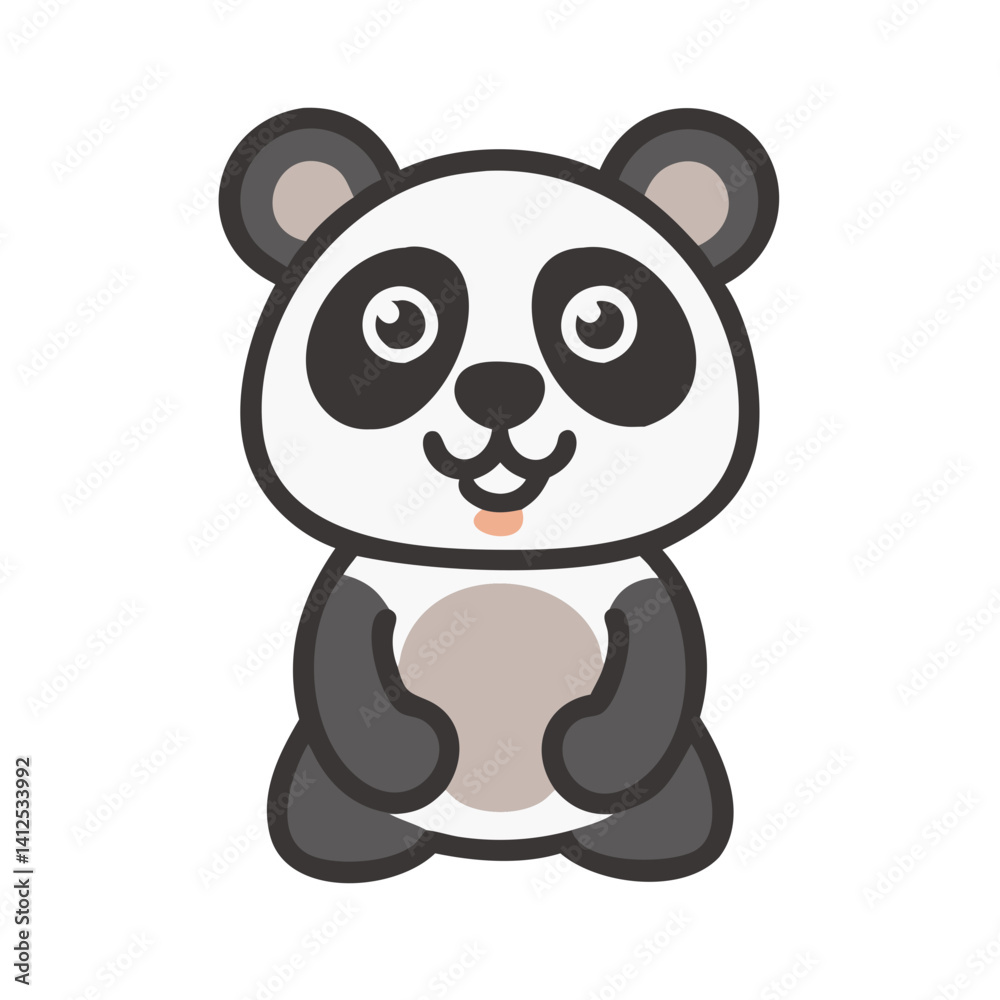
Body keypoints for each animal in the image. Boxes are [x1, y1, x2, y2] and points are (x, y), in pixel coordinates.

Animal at [219, 107, 778, 883]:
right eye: (398, 322)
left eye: (601, 322)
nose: (499, 390)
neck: (499, 551)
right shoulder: (365, 578)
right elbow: (344, 669)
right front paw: (416, 749)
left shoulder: (637, 579)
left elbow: (655, 668)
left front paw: (583, 748)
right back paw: (345, 840)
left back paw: (653, 840)